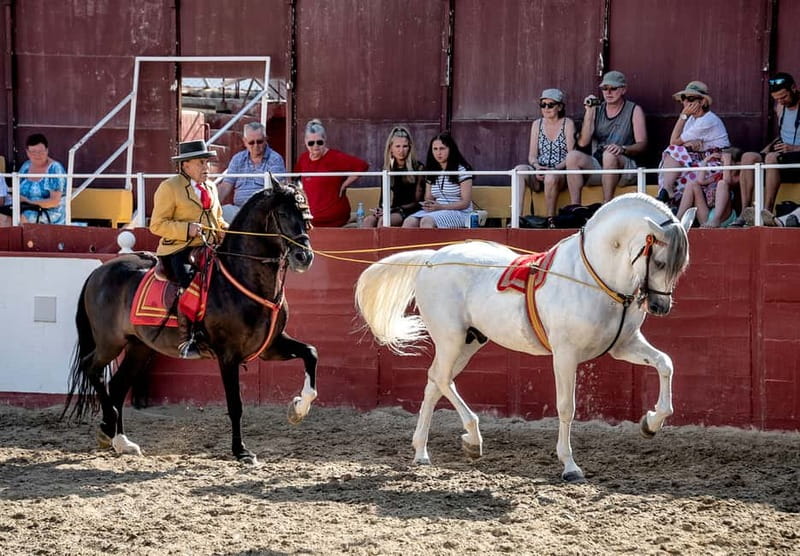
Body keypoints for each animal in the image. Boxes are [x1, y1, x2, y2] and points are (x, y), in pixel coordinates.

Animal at [63, 180, 318, 464]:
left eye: (306, 216)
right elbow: (235, 404)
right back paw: (108, 425)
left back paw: (120, 440)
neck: (243, 279)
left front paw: (298, 409)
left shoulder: (270, 347)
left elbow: (311, 353)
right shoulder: (228, 355)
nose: (304, 257)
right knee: (91, 368)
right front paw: (240, 450)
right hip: (110, 342)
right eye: (283, 213)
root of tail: (99, 271)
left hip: (139, 348)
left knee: (117, 385)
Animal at [355, 193, 695, 482]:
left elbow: (665, 364)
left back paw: (423, 452)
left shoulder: (623, 346)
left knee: (434, 383)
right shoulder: (565, 354)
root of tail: (432, 258)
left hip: (468, 342)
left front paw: (651, 423)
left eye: (682, 265)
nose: (659, 306)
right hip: (450, 338)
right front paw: (570, 466)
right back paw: (472, 438)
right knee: (440, 379)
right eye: (660, 262)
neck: (592, 277)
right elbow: (566, 406)